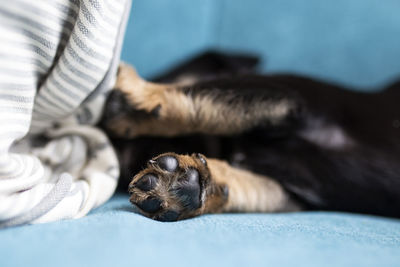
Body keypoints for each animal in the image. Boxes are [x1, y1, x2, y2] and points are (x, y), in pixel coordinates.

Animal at [100, 51, 400, 223]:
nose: (122, 154)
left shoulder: (286, 95)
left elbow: (199, 95)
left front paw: (132, 98)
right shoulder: (291, 194)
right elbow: (241, 188)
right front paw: (195, 187)